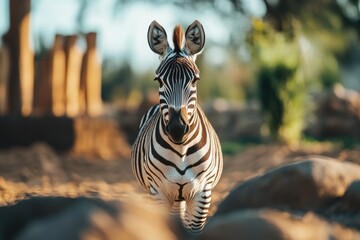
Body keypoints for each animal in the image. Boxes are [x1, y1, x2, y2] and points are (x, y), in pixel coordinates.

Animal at [132, 20, 222, 232]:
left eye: (195, 79)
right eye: (159, 80)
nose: (177, 129)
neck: (181, 149)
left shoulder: (202, 193)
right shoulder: (159, 192)